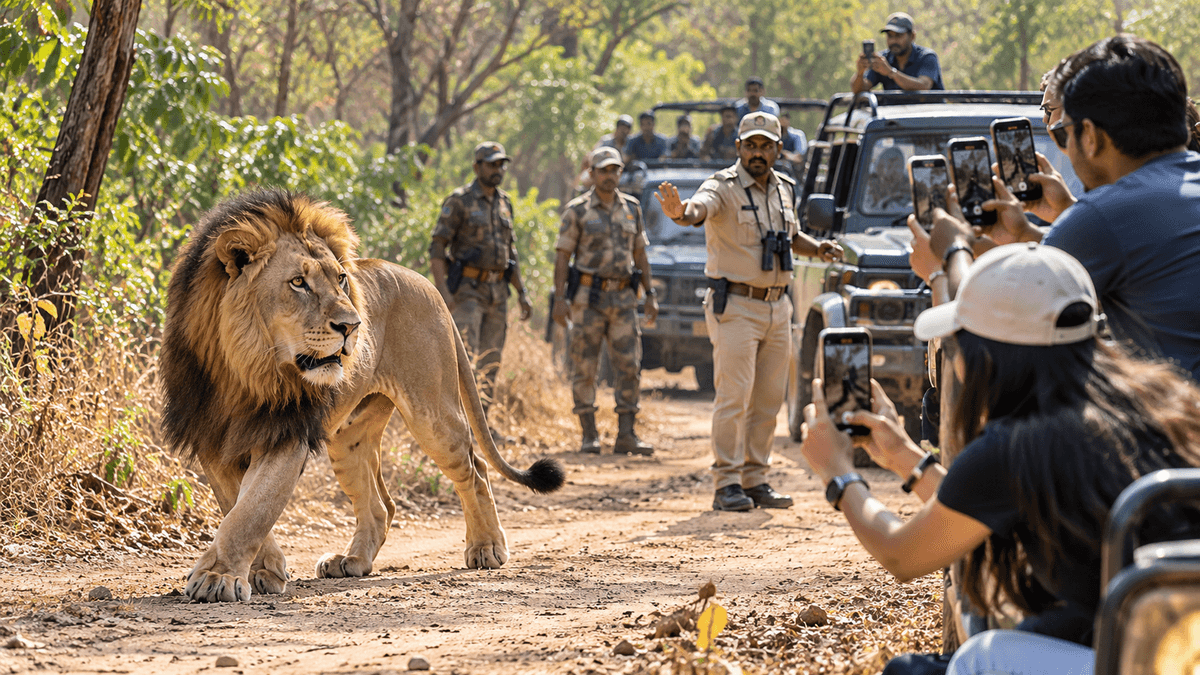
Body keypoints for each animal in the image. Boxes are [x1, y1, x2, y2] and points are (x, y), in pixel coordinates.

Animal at [160, 188, 565, 602]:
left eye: (340, 279)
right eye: (298, 282)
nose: (352, 326)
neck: (245, 370)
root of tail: (427, 283)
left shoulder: (289, 431)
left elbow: (254, 509)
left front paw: (219, 577)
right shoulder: (210, 437)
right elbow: (237, 506)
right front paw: (265, 569)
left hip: (434, 414)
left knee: (475, 467)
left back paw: (487, 547)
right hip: (349, 439)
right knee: (381, 505)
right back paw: (351, 561)